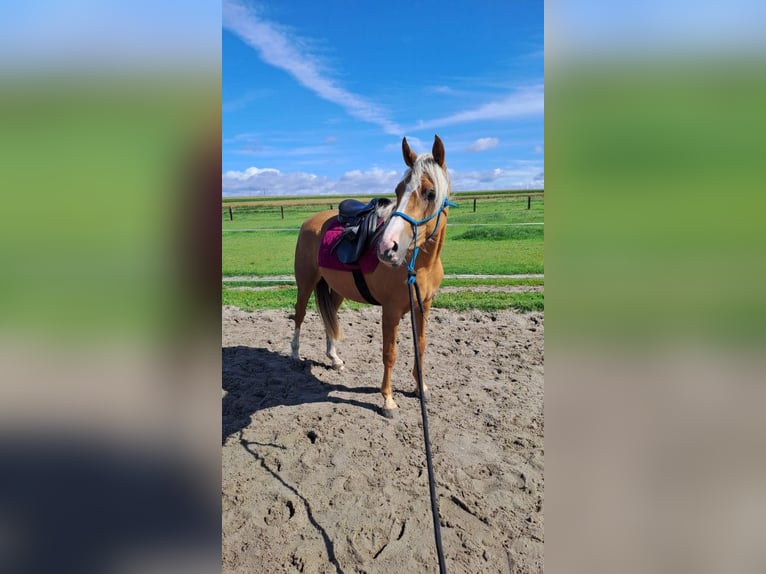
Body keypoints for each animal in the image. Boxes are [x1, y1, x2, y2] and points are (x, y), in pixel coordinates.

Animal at [291, 135, 452, 418]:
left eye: (430, 193)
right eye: (398, 190)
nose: (388, 248)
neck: (421, 264)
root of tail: (311, 221)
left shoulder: (424, 306)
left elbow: (420, 347)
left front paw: (420, 388)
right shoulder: (390, 311)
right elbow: (390, 353)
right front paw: (387, 400)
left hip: (337, 291)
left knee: (329, 318)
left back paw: (334, 359)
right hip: (306, 283)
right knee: (299, 315)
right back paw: (295, 355)